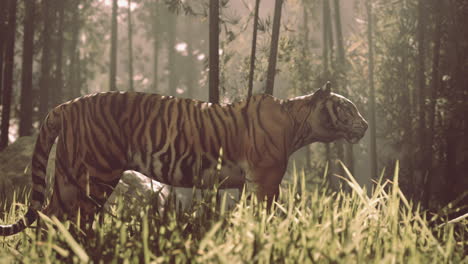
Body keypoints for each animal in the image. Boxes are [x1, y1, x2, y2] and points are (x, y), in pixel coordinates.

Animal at [0, 81, 368, 236]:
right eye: (347, 109)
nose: (364, 125)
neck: (297, 125)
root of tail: (65, 105)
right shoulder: (265, 180)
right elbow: (265, 214)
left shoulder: (250, 183)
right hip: (95, 175)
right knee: (73, 219)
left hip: (68, 176)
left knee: (49, 216)